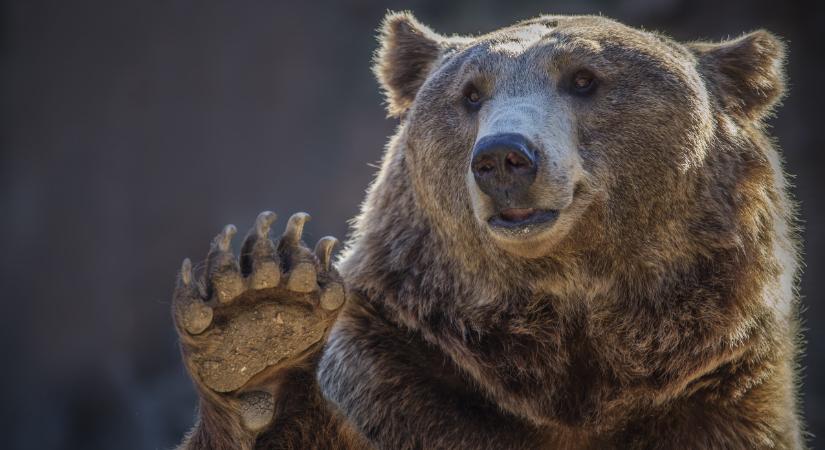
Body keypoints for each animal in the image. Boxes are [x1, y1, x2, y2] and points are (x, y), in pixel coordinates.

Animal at [171, 11, 800, 450]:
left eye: (584, 79)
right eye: (471, 93)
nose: (503, 157)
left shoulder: (715, 394)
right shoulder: (404, 377)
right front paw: (258, 326)